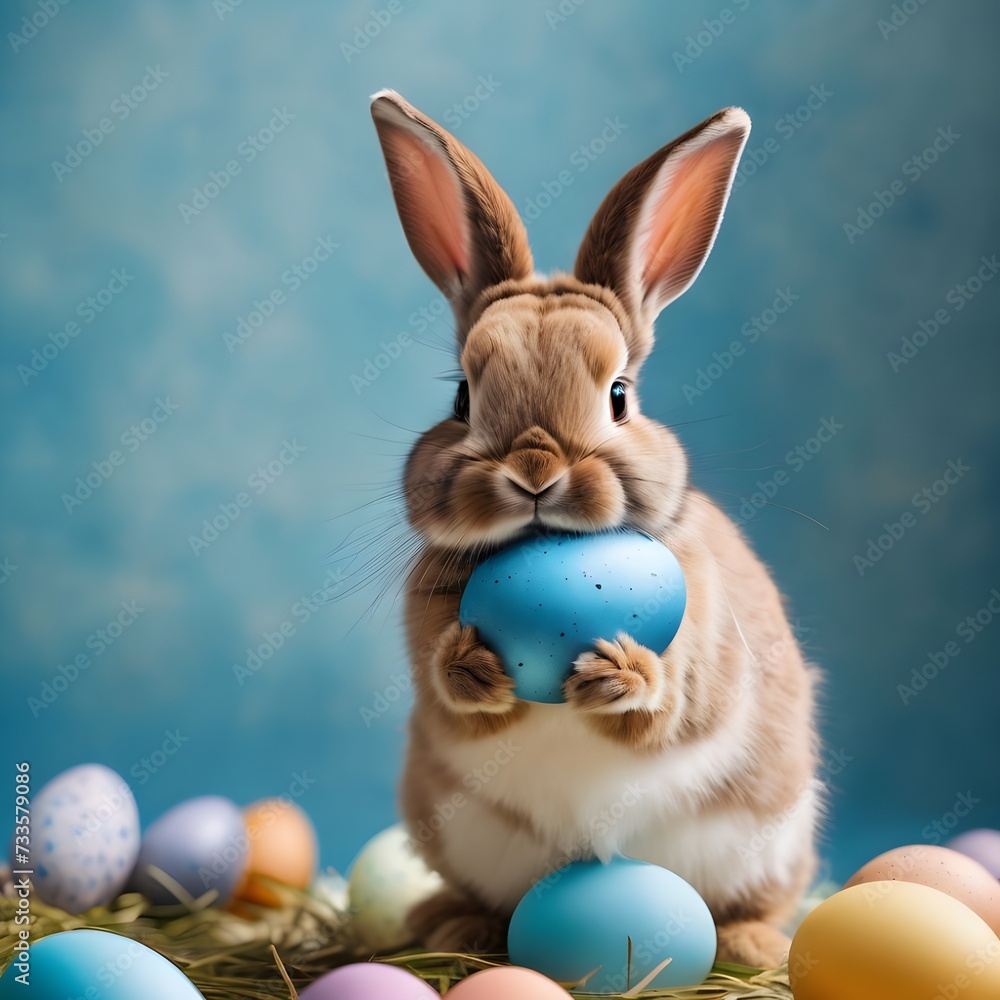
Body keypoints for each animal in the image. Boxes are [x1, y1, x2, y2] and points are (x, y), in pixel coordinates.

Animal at [369, 89, 821, 970]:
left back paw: (754, 945)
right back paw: (451, 924)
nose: (534, 470)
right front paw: (473, 665)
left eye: (620, 396)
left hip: (776, 834)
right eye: (461, 399)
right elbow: (460, 703)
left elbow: (666, 712)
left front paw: (618, 675)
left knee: (762, 899)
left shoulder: (704, 654)